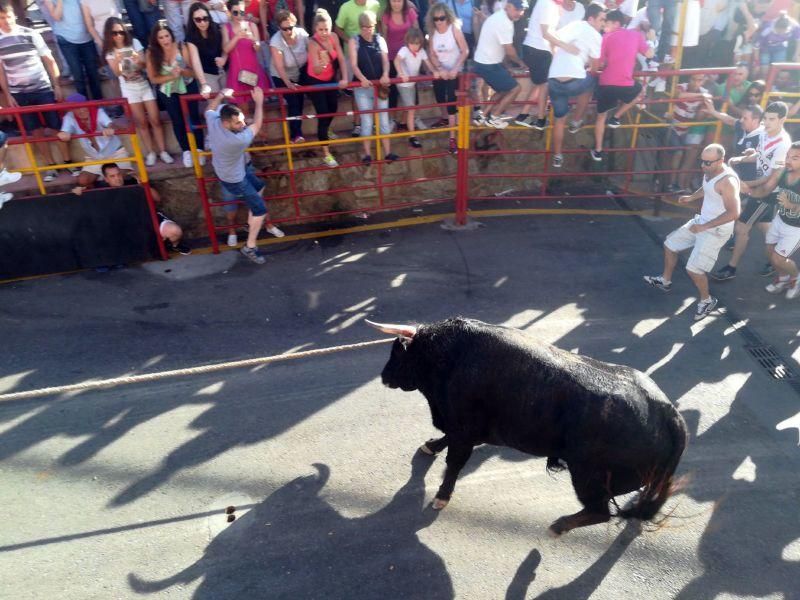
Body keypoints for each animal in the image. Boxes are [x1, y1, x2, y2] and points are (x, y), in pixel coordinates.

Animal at [368, 316, 688, 536]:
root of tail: (668, 412)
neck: (447, 354)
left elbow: (455, 462)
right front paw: (430, 445)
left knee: (600, 512)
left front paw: (441, 497)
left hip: (587, 474)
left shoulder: (464, 428)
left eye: (398, 352)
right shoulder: (463, 427)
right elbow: (447, 438)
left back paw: (558, 526)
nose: (384, 376)